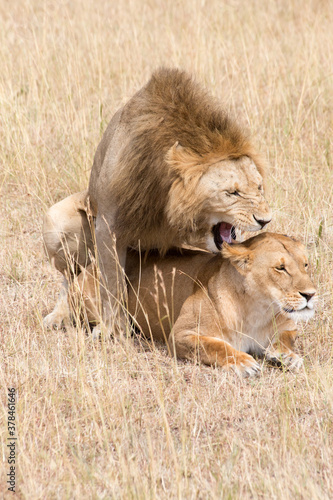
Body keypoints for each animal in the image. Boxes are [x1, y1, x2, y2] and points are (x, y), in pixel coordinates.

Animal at [42, 66, 272, 332]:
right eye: (232, 192)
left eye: (259, 187)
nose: (266, 220)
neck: (166, 199)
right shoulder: (108, 227)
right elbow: (111, 283)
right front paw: (112, 329)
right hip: (56, 220)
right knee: (69, 279)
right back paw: (59, 315)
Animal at [69, 232, 314, 376]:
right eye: (280, 268)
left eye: (305, 265)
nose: (311, 295)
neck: (258, 308)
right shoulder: (180, 334)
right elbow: (215, 346)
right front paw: (242, 362)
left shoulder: (287, 327)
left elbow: (286, 339)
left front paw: (287, 357)